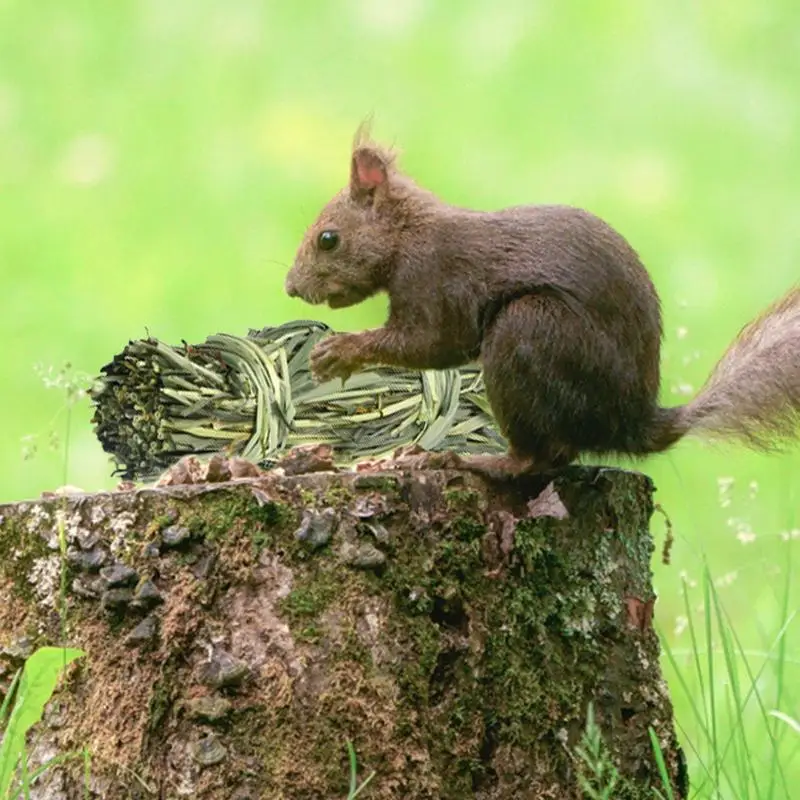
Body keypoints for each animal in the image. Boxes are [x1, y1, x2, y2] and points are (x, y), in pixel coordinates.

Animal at [284, 125, 800, 476]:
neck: (409, 234)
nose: (291, 287)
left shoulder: (436, 279)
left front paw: (338, 352)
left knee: (534, 460)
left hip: (530, 330)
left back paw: (472, 462)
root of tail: (633, 424)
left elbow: (432, 342)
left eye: (328, 239)